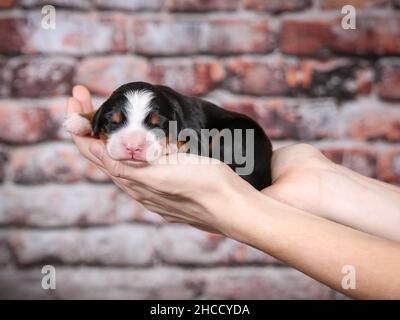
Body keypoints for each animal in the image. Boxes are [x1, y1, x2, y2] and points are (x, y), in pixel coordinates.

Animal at [64, 82, 274, 190]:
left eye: (157, 124)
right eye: (114, 121)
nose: (133, 147)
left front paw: (168, 145)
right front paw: (80, 119)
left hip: (237, 134)